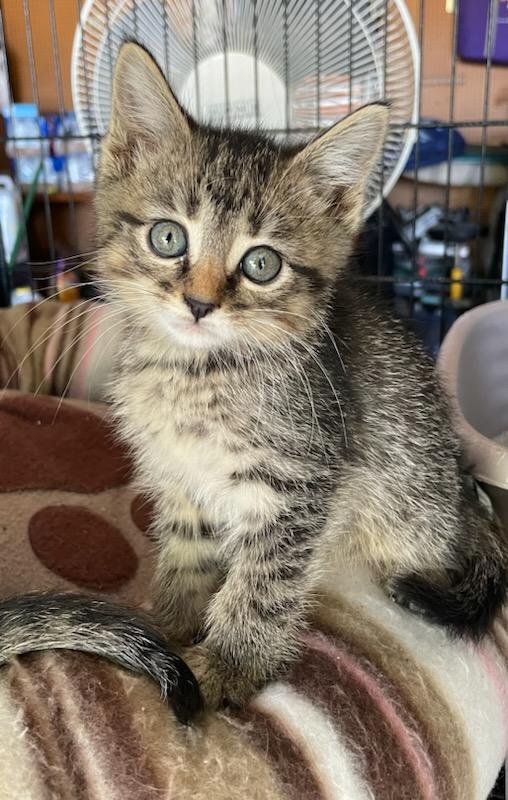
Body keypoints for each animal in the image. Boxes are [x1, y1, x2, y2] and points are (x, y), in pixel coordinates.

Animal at [0, 40, 504, 716]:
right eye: (167, 237)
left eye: (261, 264)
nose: (198, 303)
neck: (196, 377)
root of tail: (461, 489)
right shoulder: (179, 476)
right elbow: (186, 553)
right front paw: (170, 624)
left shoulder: (298, 486)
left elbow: (263, 584)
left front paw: (227, 668)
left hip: (408, 501)